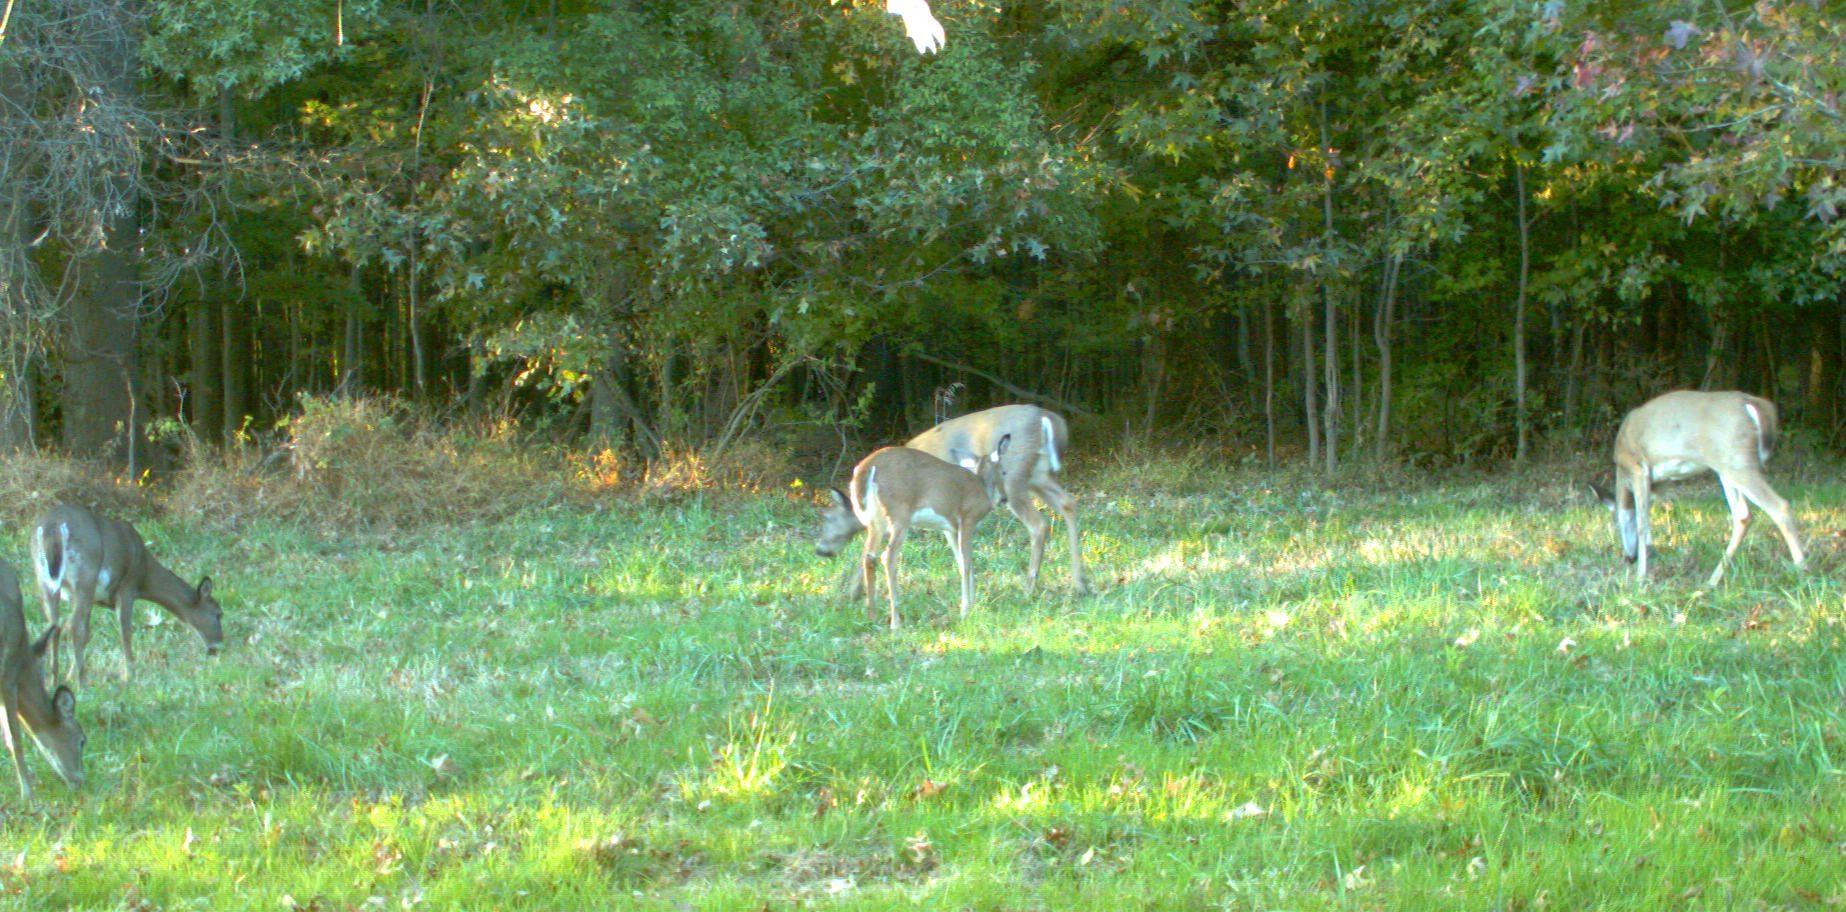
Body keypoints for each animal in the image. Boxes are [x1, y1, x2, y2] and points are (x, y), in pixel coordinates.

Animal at [31, 502, 225, 686]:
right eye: (218, 613)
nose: (217, 647)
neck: (144, 575)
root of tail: (52, 528)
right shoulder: (127, 587)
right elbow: (125, 632)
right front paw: (129, 675)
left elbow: (87, 634)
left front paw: (69, 676)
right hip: (85, 575)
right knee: (73, 625)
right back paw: (82, 682)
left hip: (44, 581)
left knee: (54, 625)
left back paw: (53, 680)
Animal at [815, 433, 1011, 627]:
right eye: (1004, 471)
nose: (1004, 498)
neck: (982, 486)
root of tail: (867, 467)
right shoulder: (968, 519)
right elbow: (968, 563)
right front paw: (966, 611)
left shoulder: (950, 528)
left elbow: (962, 563)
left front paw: (972, 604)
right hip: (899, 514)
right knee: (888, 557)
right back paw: (895, 622)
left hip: (876, 522)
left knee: (869, 557)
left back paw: (872, 615)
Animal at [1587, 387, 1801, 587]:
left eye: (1615, 524)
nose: (1629, 558)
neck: (1621, 471)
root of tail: (1751, 402)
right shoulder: (1659, 483)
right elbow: (1648, 518)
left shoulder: (1638, 468)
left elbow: (1641, 523)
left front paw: (1640, 577)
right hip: (1727, 468)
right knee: (1743, 516)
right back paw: (1712, 581)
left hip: (1737, 462)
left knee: (1779, 506)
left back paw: (1801, 569)